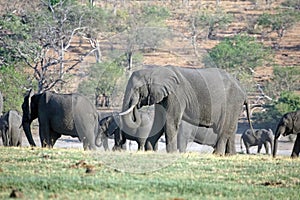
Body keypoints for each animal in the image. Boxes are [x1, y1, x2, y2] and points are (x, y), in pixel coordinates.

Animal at [111, 65, 252, 155]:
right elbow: (159, 122)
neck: (155, 71)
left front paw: (172, 153)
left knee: (224, 128)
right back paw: (230, 155)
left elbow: (170, 121)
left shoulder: (176, 95)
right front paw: (149, 151)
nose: (136, 105)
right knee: (231, 129)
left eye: (137, 89)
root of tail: (244, 91)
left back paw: (217, 154)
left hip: (232, 102)